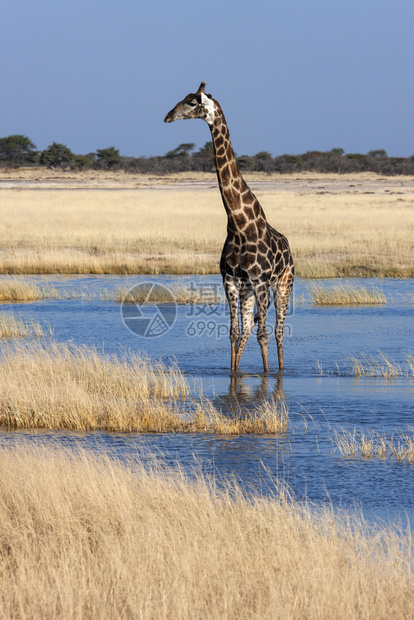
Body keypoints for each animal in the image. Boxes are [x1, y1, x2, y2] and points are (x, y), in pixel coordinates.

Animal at [163, 82, 292, 372]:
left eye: (192, 102)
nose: (167, 116)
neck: (238, 225)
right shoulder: (231, 281)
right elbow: (233, 332)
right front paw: (233, 374)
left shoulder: (261, 282)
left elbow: (263, 334)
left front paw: (267, 375)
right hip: (248, 291)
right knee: (247, 329)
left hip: (283, 284)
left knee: (278, 331)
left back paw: (280, 369)